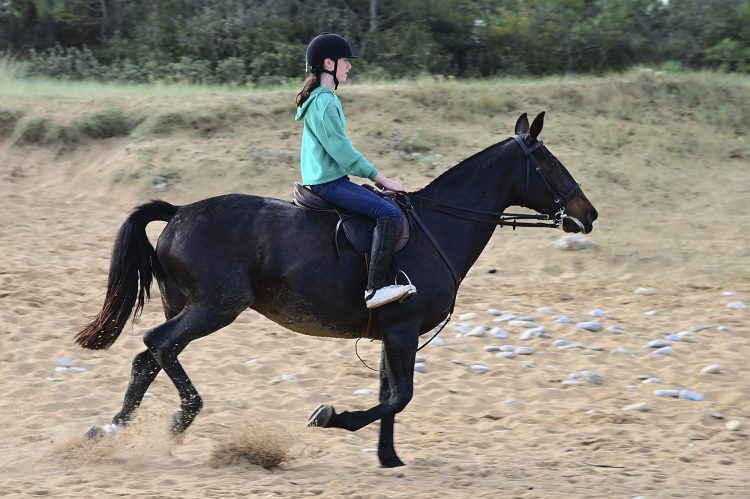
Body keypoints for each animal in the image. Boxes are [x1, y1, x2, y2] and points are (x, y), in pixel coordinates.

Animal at [76, 112, 597, 468]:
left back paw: (110, 430)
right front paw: (331, 417)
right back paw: (180, 418)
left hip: (186, 306)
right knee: (157, 345)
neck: (438, 227)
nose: (588, 214)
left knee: (149, 359)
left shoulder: (393, 334)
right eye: (550, 163)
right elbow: (400, 396)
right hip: (214, 308)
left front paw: (389, 459)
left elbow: (390, 394)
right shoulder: (404, 329)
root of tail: (180, 211)